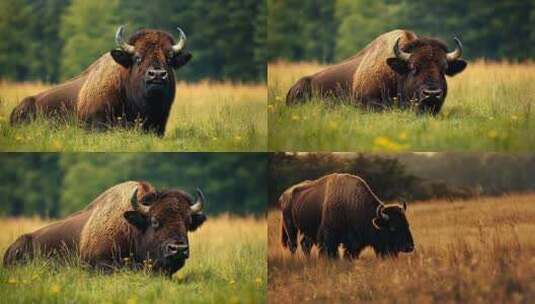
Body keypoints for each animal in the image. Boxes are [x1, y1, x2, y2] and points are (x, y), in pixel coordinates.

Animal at [2, 182, 207, 276]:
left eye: (188, 222)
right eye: (155, 221)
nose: (178, 249)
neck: (132, 228)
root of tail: (10, 249)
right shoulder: (102, 263)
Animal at [280, 173, 414, 258]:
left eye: (407, 224)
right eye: (392, 228)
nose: (409, 247)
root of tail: (285, 194)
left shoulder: (353, 244)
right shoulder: (328, 239)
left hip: (307, 231)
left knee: (305, 245)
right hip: (290, 227)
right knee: (293, 245)